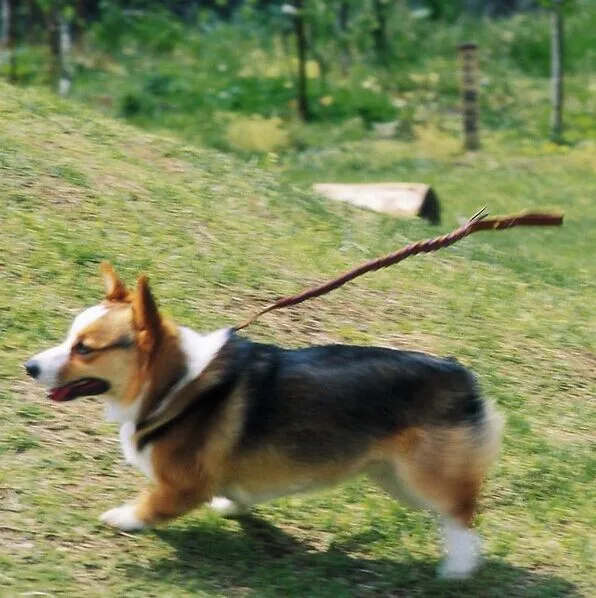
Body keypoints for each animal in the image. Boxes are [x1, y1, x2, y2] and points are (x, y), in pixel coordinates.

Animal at [26, 264, 502, 580]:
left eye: (84, 349)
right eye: (71, 338)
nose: (28, 366)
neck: (174, 381)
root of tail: (463, 376)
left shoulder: (181, 485)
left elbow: (150, 504)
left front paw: (123, 518)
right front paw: (230, 504)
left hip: (423, 476)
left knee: (461, 512)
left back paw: (458, 567)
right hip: (393, 478)